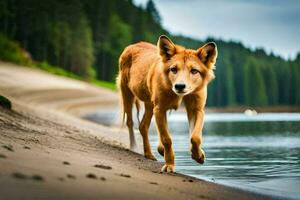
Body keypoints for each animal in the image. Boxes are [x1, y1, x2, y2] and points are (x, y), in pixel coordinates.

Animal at [116, 34, 217, 172]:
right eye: (173, 69)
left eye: (194, 71)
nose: (179, 86)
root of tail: (132, 45)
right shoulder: (160, 109)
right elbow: (167, 139)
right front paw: (169, 164)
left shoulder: (196, 109)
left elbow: (195, 137)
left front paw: (198, 155)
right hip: (127, 94)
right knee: (130, 122)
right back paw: (134, 147)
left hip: (150, 104)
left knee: (143, 126)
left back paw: (149, 153)